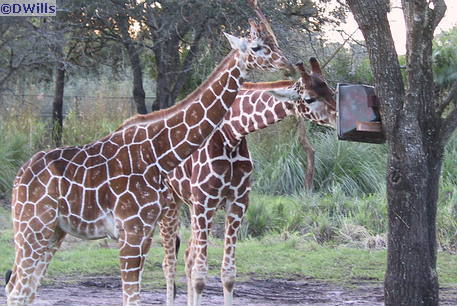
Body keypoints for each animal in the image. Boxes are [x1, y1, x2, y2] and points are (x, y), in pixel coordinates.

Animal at [4, 17, 296, 306]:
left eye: (275, 43)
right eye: (257, 47)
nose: (287, 64)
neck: (157, 153)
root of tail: (19, 176)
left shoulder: (144, 230)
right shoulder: (132, 229)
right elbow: (134, 295)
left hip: (53, 231)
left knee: (25, 289)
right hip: (33, 229)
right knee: (18, 290)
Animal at [160, 58, 334, 306]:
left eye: (330, 89)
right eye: (309, 98)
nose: (338, 116)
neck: (231, 134)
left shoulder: (237, 202)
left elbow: (228, 274)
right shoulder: (206, 201)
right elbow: (201, 275)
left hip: (191, 205)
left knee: (187, 257)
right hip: (170, 201)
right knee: (169, 263)